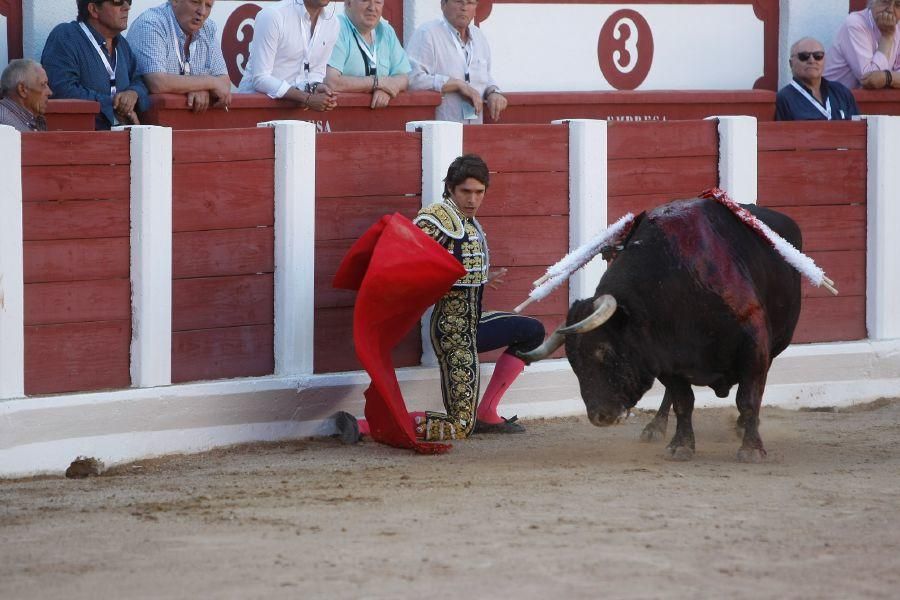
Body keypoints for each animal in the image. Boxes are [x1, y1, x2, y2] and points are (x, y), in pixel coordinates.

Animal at [520, 197, 800, 464]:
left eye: (604, 351)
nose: (599, 416)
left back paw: (742, 427)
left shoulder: (754, 347)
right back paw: (655, 426)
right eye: (573, 363)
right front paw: (681, 446)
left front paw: (751, 448)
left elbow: (748, 399)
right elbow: (683, 401)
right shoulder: (664, 357)